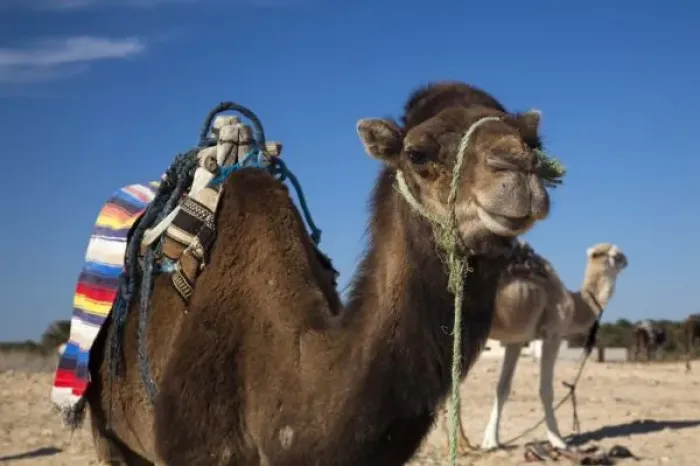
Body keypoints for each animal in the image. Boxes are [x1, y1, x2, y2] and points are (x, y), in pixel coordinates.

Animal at [442, 242, 628, 453]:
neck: (574, 305)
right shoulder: (553, 333)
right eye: (616, 255)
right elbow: (546, 391)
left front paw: (491, 441)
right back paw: (459, 443)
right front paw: (558, 440)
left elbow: (502, 388)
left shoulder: (516, 339)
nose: (627, 261)